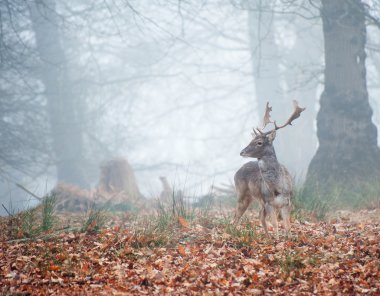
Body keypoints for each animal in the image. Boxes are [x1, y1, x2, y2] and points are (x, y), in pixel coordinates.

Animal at [235, 100, 306, 237]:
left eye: (259, 142)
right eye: (251, 139)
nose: (242, 152)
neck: (277, 187)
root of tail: (237, 171)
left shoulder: (287, 202)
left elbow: (287, 226)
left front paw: (288, 239)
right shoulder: (269, 202)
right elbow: (275, 224)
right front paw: (277, 239)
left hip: (259, 201)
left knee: (259, 216)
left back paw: (267, 237)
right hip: (243, 193)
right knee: (236, 215)